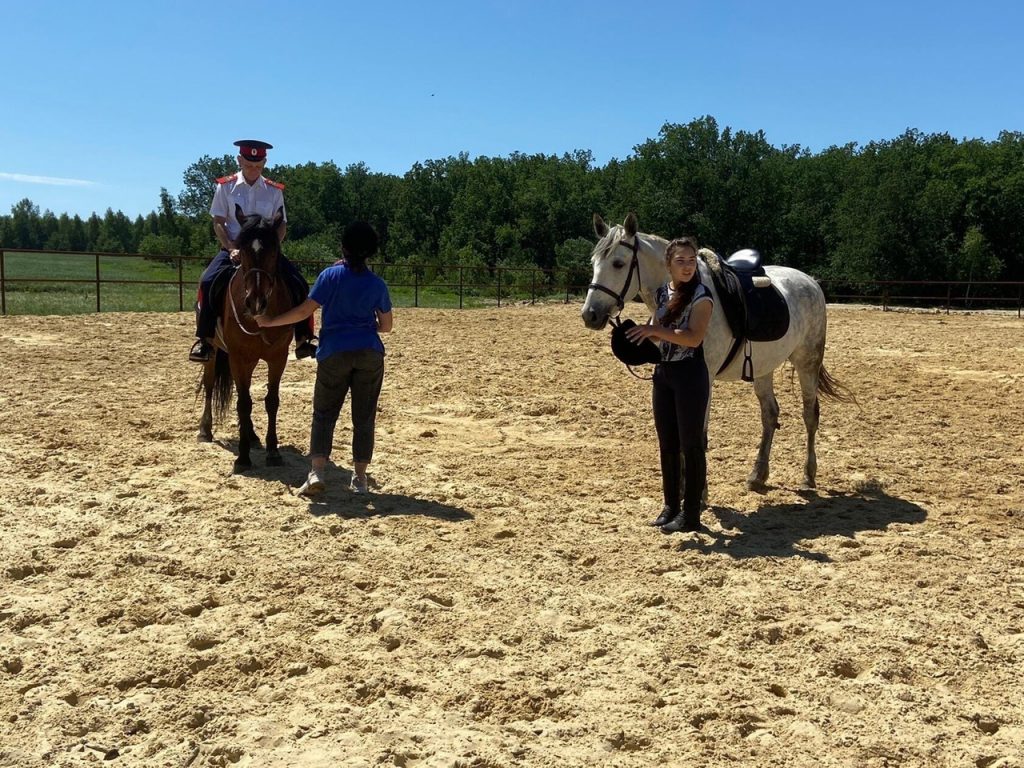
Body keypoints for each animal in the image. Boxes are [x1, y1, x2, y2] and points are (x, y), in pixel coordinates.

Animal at [196, 204, 294, 473]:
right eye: (243, 249)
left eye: (274, 250)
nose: (256, 302)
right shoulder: (238, 359)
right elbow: (243, 404)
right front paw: (242, 457)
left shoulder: (278, 358)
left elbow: (271, 401)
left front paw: (273, 451)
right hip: (215, 351)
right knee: (211, 385)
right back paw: (205, 430)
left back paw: (251, 436)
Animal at [585, 215, 847, 493]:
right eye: (593, 263)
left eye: (618, 263)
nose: (589, 314)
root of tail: (811, 282)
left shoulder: (704, 379)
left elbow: (698, 434)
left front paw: (699, 494)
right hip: (764, 367)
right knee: (770, 414)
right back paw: (757, 475)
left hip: (807, 362)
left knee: (809, 415)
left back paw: (808, 475)